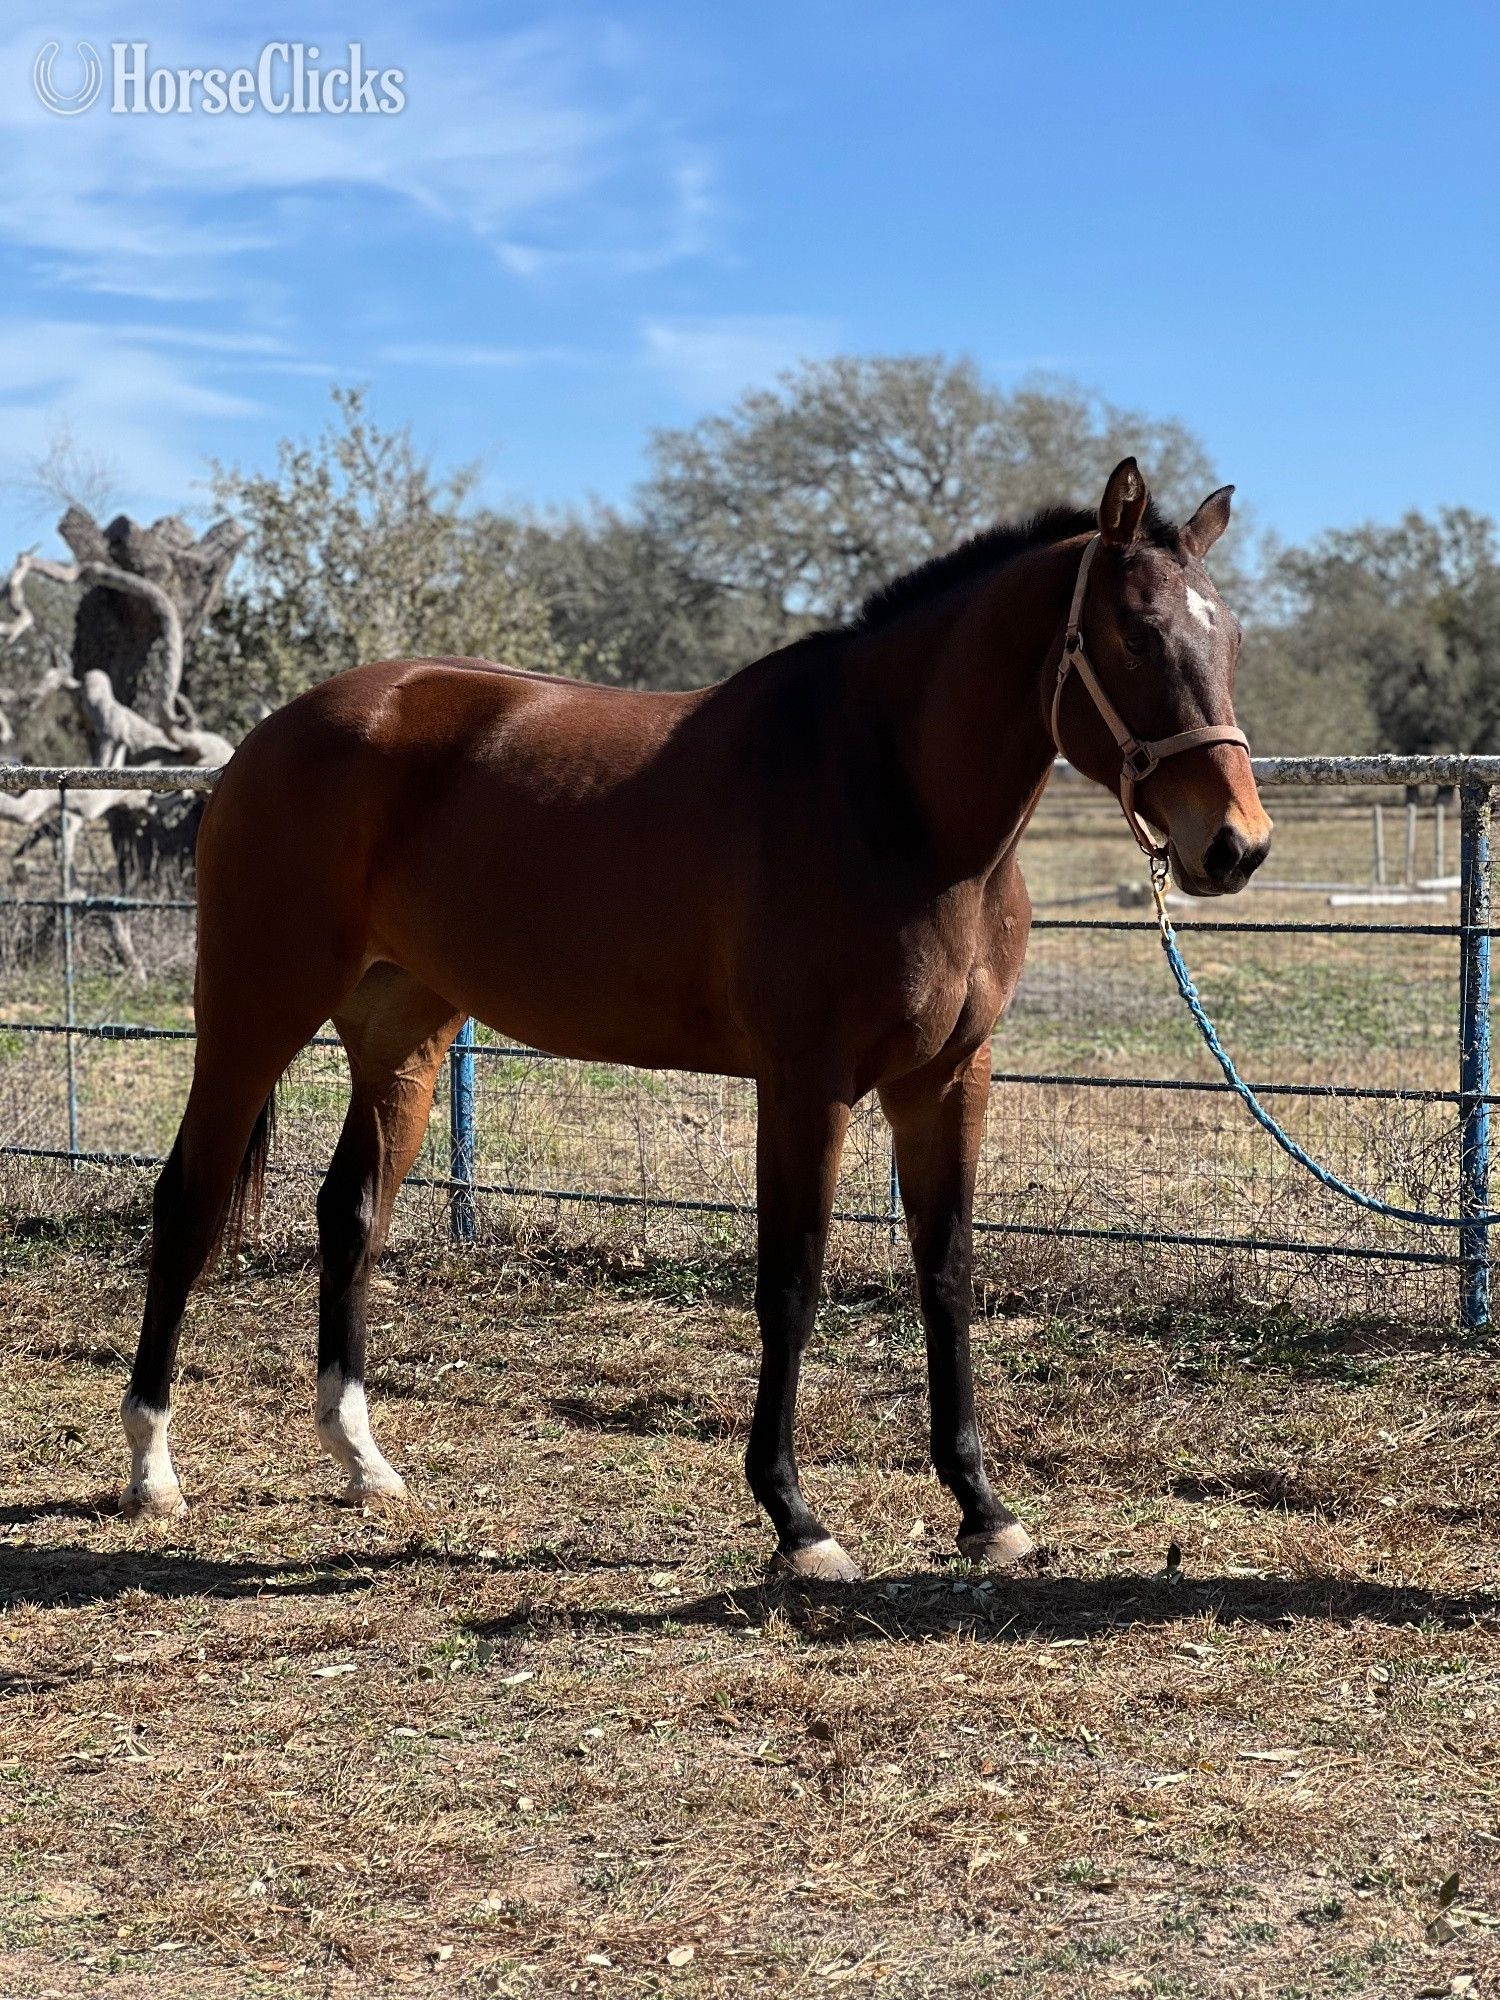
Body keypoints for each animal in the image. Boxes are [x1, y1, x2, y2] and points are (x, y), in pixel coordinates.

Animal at [117, 457, 1271, 1580]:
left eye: (1231, 638)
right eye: (1136, 633)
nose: (1236, 845)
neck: (889, 798)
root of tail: (280, 732)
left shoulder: (948, 1078)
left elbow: (947, 1276)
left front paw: (983, 1510)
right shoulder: (806, 1085)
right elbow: (792, 1282)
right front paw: (796, 1519)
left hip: (402, 1036)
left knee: (351, 1213)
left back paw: (363, 1461)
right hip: (253, 1011)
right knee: (187, 1203)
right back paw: (151, 1468)